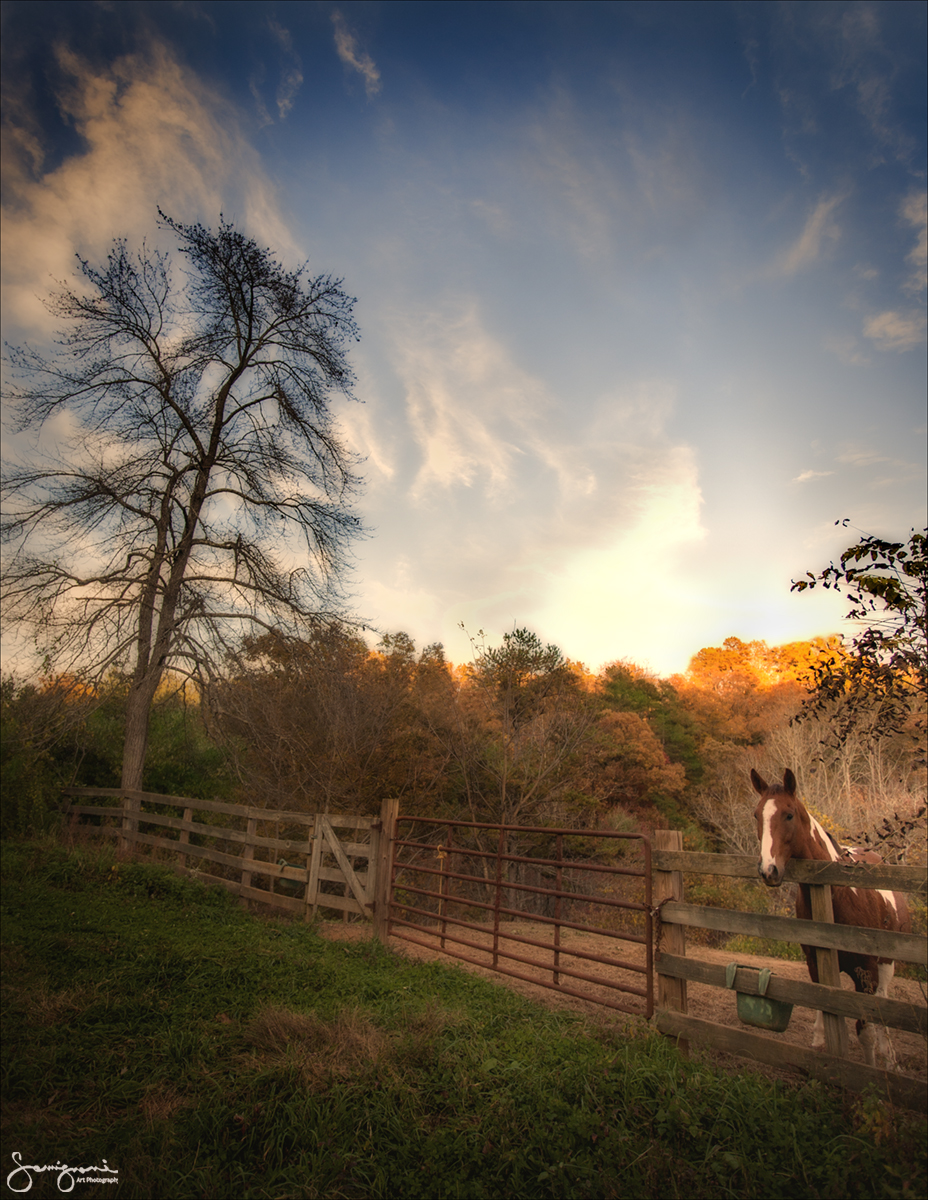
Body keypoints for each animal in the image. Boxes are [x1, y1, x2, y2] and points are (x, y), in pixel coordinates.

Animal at [749, 768, 907, 1070]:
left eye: (788, 815)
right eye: (756, 814)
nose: (768, 870)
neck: (839, 893)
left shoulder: (866, 972)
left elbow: (866, 1031)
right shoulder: (815, 962)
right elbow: (826, 1013)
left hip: (885, 966)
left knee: (883, 1005)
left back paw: (890, 1058)